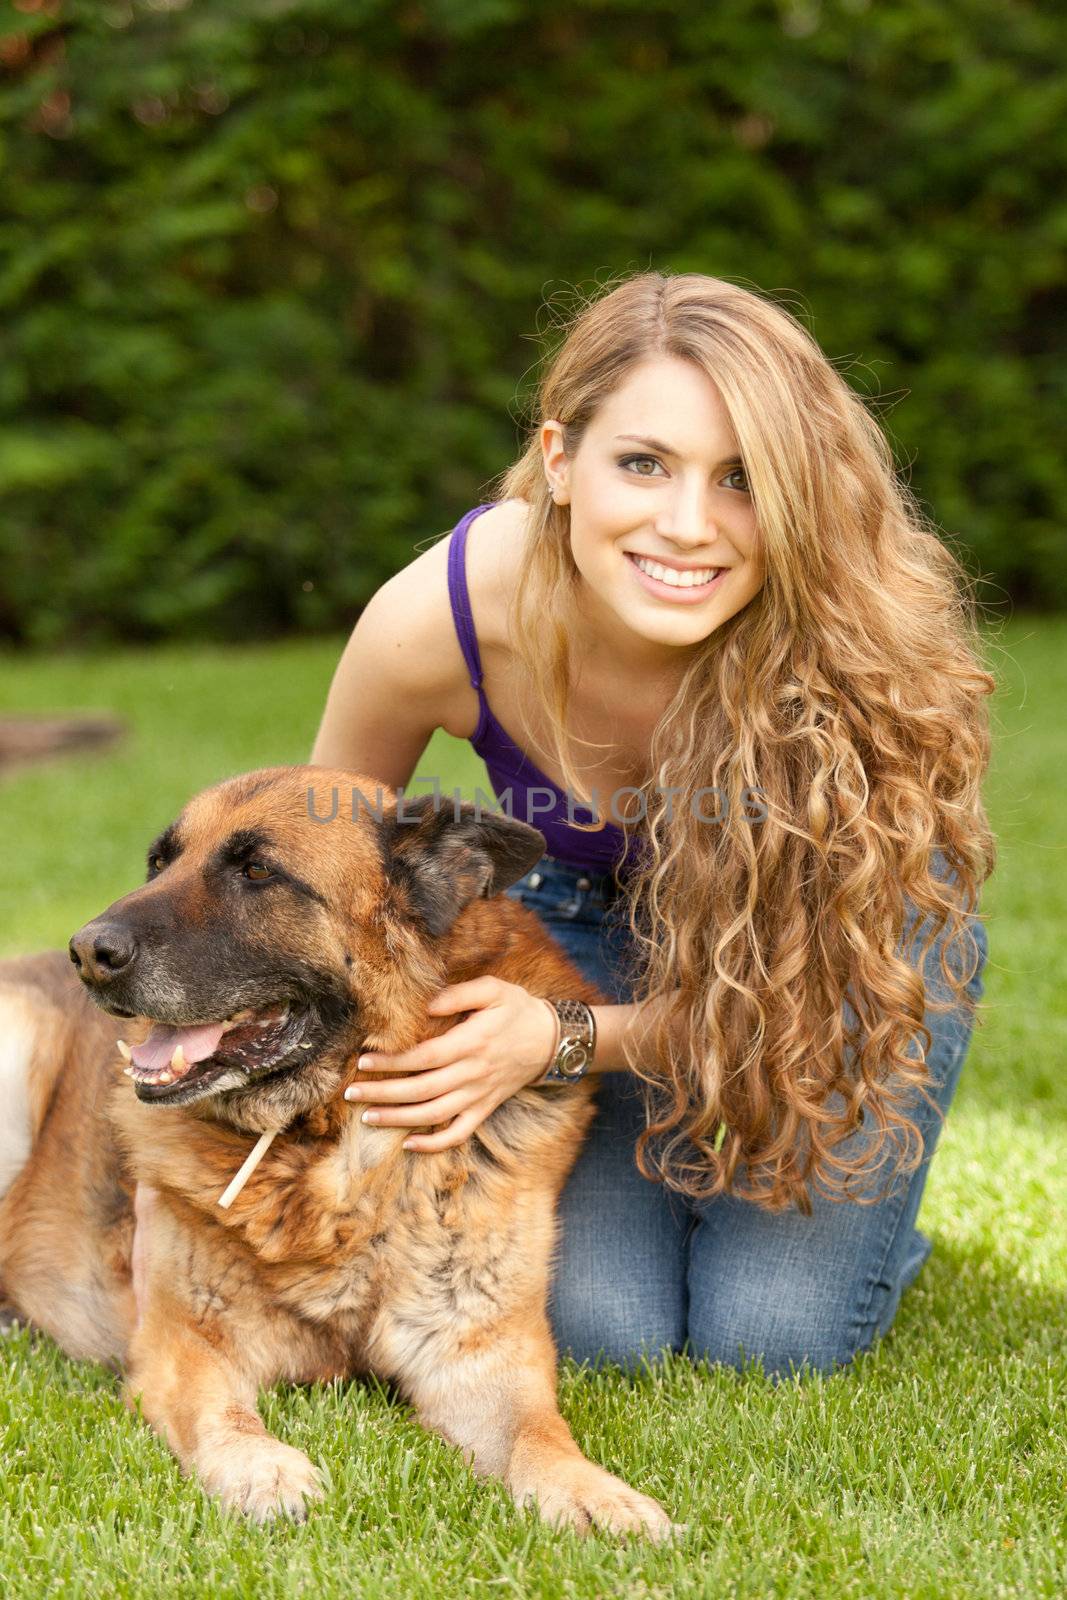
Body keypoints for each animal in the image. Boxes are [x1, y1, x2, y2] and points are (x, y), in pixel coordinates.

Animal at [0, 768, 671, 1529]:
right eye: (159, 863)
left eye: (257, 871)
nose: (86, 951)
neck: (330, 1148)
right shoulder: (185, 1347)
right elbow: (221, 1415)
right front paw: (261, 1467)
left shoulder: (477, 1356)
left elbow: (540, 1433)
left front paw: (595, 1495)